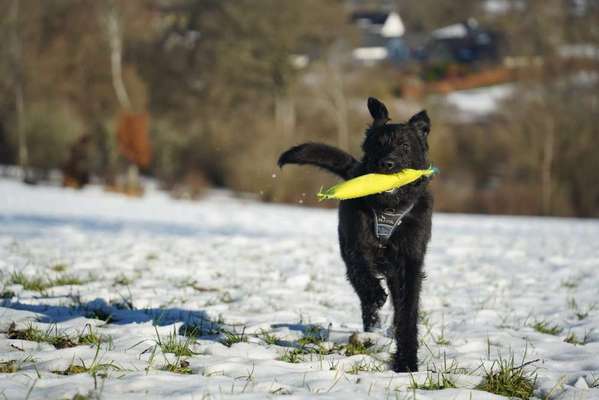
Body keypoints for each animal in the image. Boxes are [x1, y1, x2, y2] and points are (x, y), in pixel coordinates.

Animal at [278, 97, 434, 372]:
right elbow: (360, 272)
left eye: (405, 146)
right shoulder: (355, 246)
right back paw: (371, 327)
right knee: (364, 298)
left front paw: (406, 360)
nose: (387, 164)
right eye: (378, 144)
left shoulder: (409, 263)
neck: (387, 208)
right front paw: (374, 294)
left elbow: (407, 312)